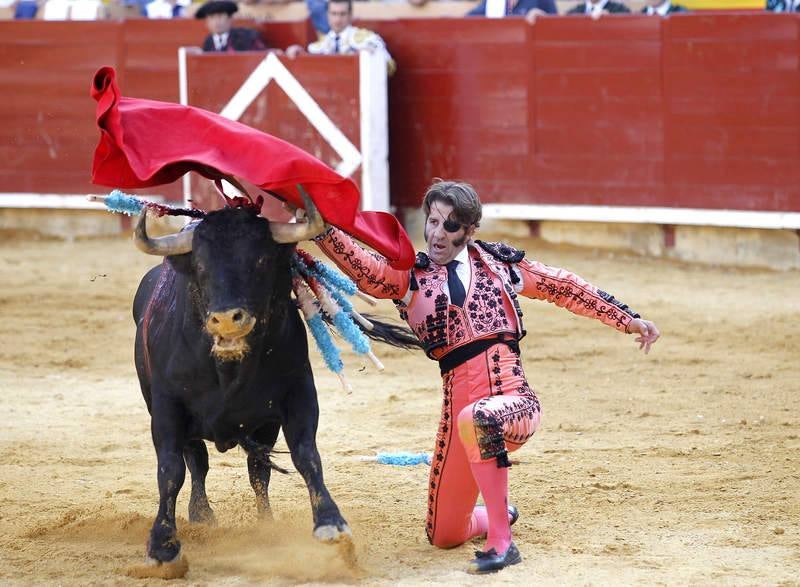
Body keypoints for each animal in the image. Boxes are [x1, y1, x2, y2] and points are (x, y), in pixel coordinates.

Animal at [131, 202, 418, 564]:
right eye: (200, 265)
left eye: (261, 260)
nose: (226, 319)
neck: (229, 369)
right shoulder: (167, 407)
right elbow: (170, 471)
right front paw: (162, 544)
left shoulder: (296, 395)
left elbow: (305, 455)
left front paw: (330, 522)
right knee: (197, 462)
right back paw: (201, 515)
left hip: (263, 426)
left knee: (257, 471)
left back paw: (264, 523)